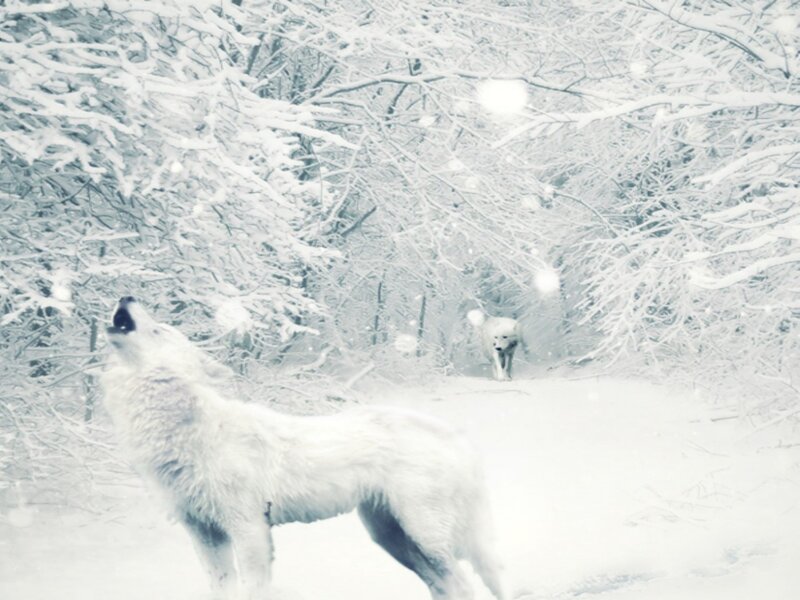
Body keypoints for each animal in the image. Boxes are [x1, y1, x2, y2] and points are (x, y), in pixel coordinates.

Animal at [102, 297, 504, 600]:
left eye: (159, 330)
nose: (127, 296)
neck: (184, 428)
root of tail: (452, 434)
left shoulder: (248, 529)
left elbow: (252, 590)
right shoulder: (204, 533)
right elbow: (221, 588)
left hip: (426, 536)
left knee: (464, 585)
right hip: (393, 539)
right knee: (446, 587)